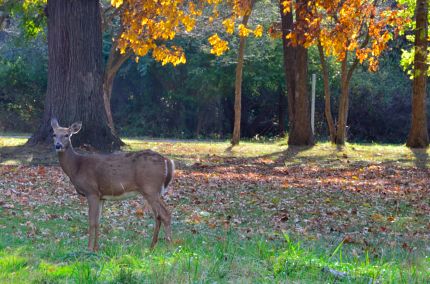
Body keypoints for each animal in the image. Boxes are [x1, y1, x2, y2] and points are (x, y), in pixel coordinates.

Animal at [51, 118, 176, 252]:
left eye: (66, 135)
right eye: (54, 134)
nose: (58, 145)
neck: (77, 167)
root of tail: (167, 161)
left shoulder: (92, 191)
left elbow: (91, 221)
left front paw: (89, 248)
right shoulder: (101, 196)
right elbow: (98, 221)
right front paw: (96, 248)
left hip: (150, 188)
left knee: (165, 214)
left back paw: (170, 247)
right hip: (154, 190)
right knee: (158, 216)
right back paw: (151, 246)